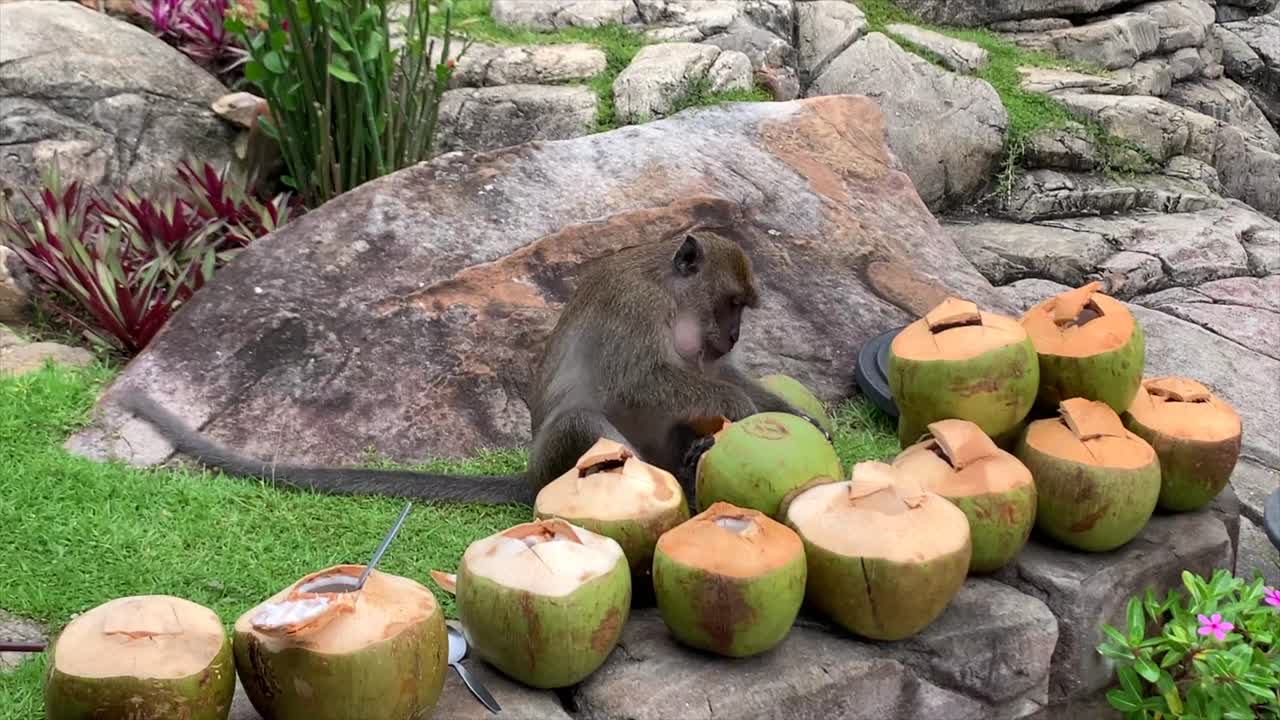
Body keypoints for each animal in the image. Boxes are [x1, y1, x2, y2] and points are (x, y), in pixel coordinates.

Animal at [120, 231, 830, 508]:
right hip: (558, 459)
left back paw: (689, 462)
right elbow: (644, 380)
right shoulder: (638, 307)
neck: (671, 293)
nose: (733, 331)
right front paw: (743, 412)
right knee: (583, 420)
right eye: (731, 303)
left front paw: (789, 412)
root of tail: (530, 478)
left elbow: (723, 375)